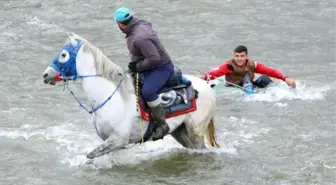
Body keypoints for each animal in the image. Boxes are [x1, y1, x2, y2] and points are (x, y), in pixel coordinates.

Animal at [42, 32, 219, 159]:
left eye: (63, 55)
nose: (45, 75)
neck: (110, 97)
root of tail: (206, 85)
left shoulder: (118, 140)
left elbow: (90, 155)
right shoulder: (110, 142)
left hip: (195, 131)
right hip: (180, 131)